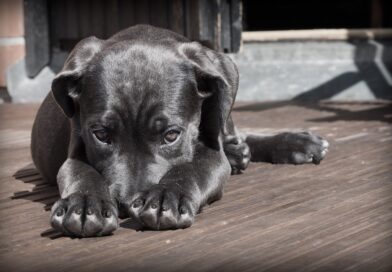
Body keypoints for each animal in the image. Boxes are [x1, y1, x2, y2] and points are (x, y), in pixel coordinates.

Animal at [30, 25, 330, 238]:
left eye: (171, 135)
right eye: (101, 135)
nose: (126, 205)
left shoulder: (211, 153)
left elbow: (192, 168)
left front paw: (167, 196)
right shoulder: (76, 148)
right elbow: (81, 172)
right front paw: (84, 204)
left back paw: (294, 143)